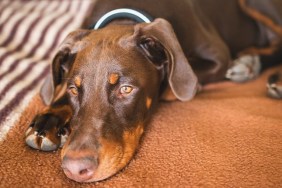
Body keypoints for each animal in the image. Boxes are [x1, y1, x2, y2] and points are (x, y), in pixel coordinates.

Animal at [24, 0, 282, 182]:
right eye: (74, 89)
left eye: (126, 89)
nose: (76, 169)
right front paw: (47, 121)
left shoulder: (218, 58)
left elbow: (171, 84)